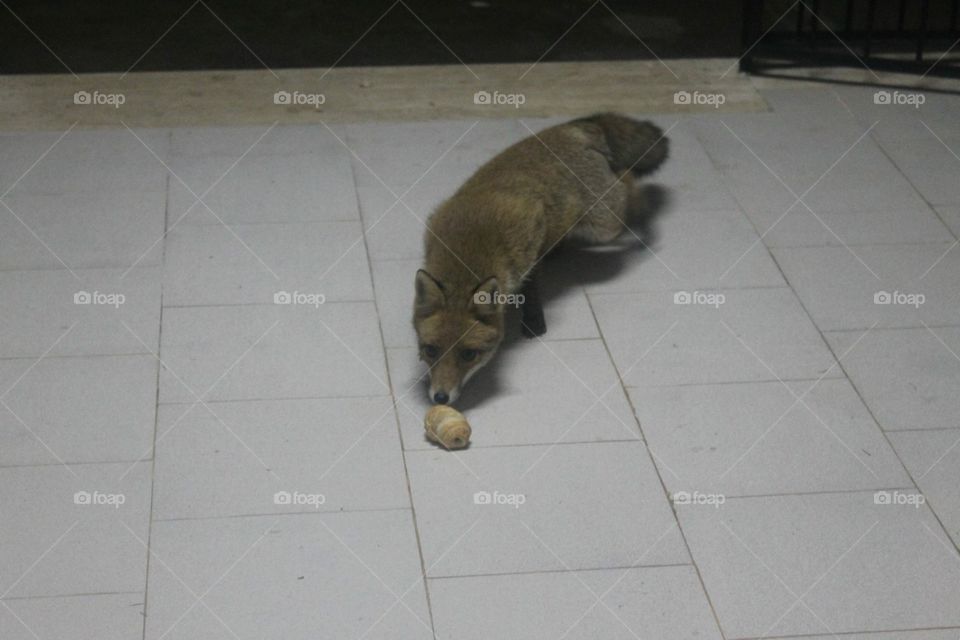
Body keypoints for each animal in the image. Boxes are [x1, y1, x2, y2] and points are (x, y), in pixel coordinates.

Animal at [413, 112, 669, 404]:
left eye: (468, 354)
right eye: (430, 350)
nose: (440, 398)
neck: (466, 247)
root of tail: (571, 128)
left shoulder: (530, 238)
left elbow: (531, 288)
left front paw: (534, 322)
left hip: (604, 223)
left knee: (628, 182)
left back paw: (643, 216)